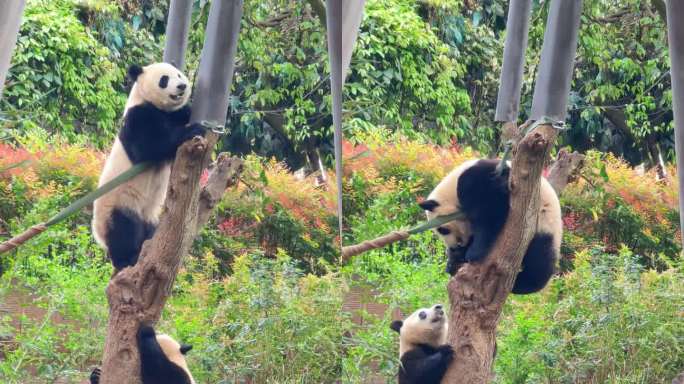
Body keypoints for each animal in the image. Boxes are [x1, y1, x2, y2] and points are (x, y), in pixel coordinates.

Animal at [93, 62, 206, 270]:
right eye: (164, 79)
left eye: (179, 75)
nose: (182, 86)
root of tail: (99, 236)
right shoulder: (137, 116)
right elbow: (149, 147)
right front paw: (193, 129)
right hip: (119, 203)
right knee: (124, 229)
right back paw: (127, 258)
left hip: (149, 214)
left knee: (148, 227)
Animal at [420, 158, 564, 294]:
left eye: (443, 230)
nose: (454, 246)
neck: (452, 190)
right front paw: (454, 260)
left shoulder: (477, 182)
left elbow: (491, 213)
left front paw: (473, 253)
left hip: (544, 226)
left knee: (539, 263)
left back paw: (520, 285)